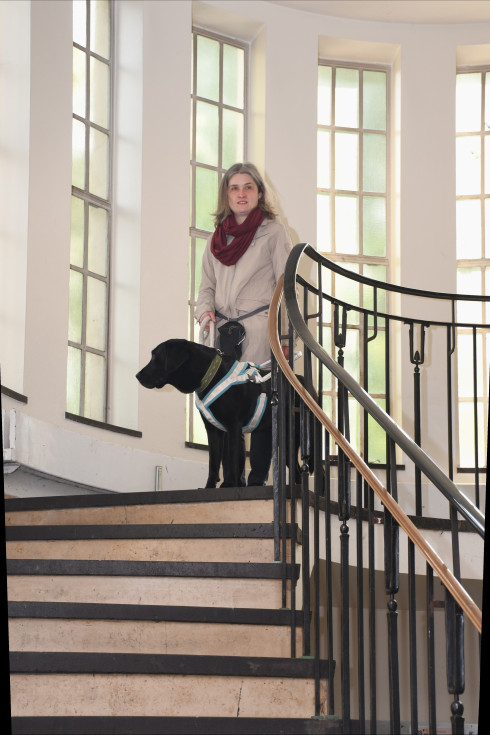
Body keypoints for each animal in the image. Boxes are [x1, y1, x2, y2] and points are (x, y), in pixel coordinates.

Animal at [135, 340, 272, 488]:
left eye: (155, 356)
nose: (137, 375)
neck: (210, 375)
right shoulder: (213, 430)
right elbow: (213, 462)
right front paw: (209, 487)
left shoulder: (233, 425)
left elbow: (232, 458)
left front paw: (229, 484)